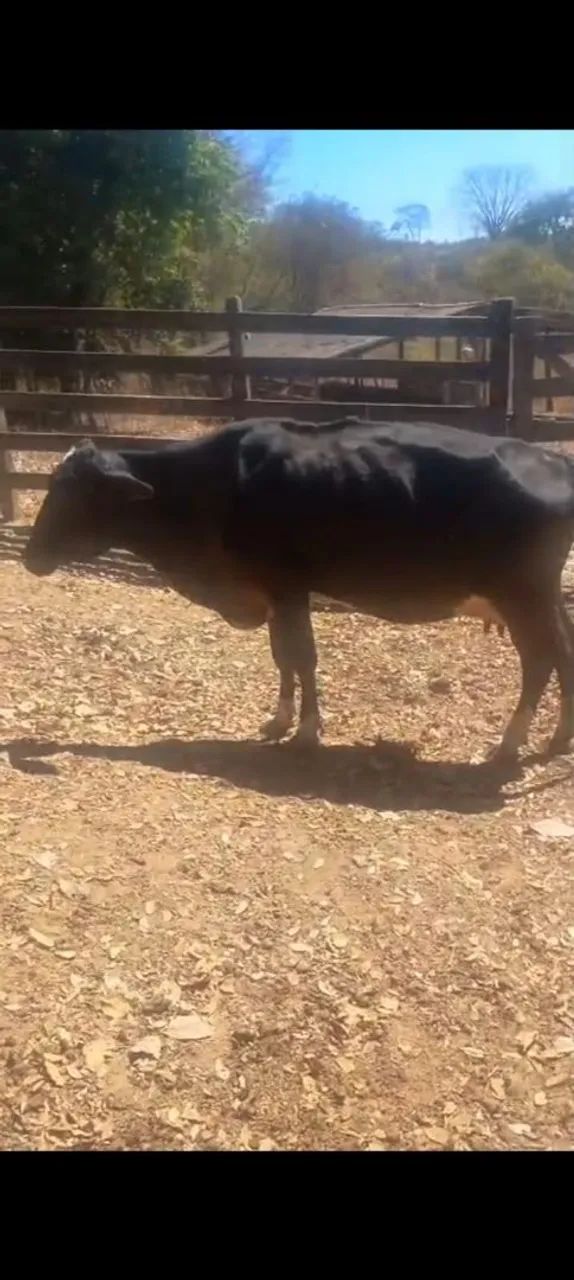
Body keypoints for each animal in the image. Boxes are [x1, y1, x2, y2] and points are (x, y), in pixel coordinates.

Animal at [23, 417, 574, 761]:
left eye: (75, 492)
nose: (30, 557)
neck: (215, 485)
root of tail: (553, 460)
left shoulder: (288, 586)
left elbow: (302, 655)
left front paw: (308, 732)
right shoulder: (270, 590)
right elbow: (282, 656)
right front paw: (280, 720)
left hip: (523, 597)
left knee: (539, 662)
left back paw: (510, 743)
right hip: (546, 599)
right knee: (564, 654)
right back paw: (558, 740)